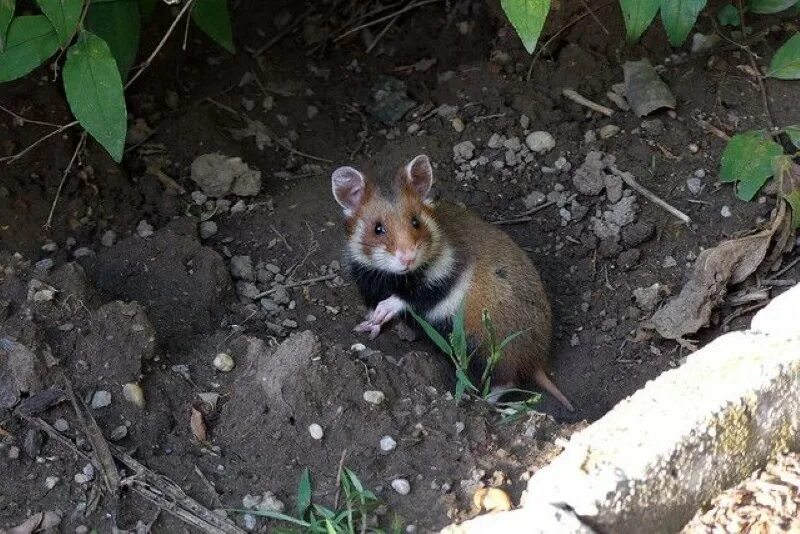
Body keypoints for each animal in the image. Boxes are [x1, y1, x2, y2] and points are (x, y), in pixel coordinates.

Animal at [332, 153, 576, 412]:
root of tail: (537, 361)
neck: (391, 276)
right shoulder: (367, 280)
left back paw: (483, 401)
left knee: (505, 379)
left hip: (488, 343)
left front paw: (382, 311)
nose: (408, 258)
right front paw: (367, 327)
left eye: (416, 222)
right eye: (378, 228)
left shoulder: (443, 276)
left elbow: (409, 297)